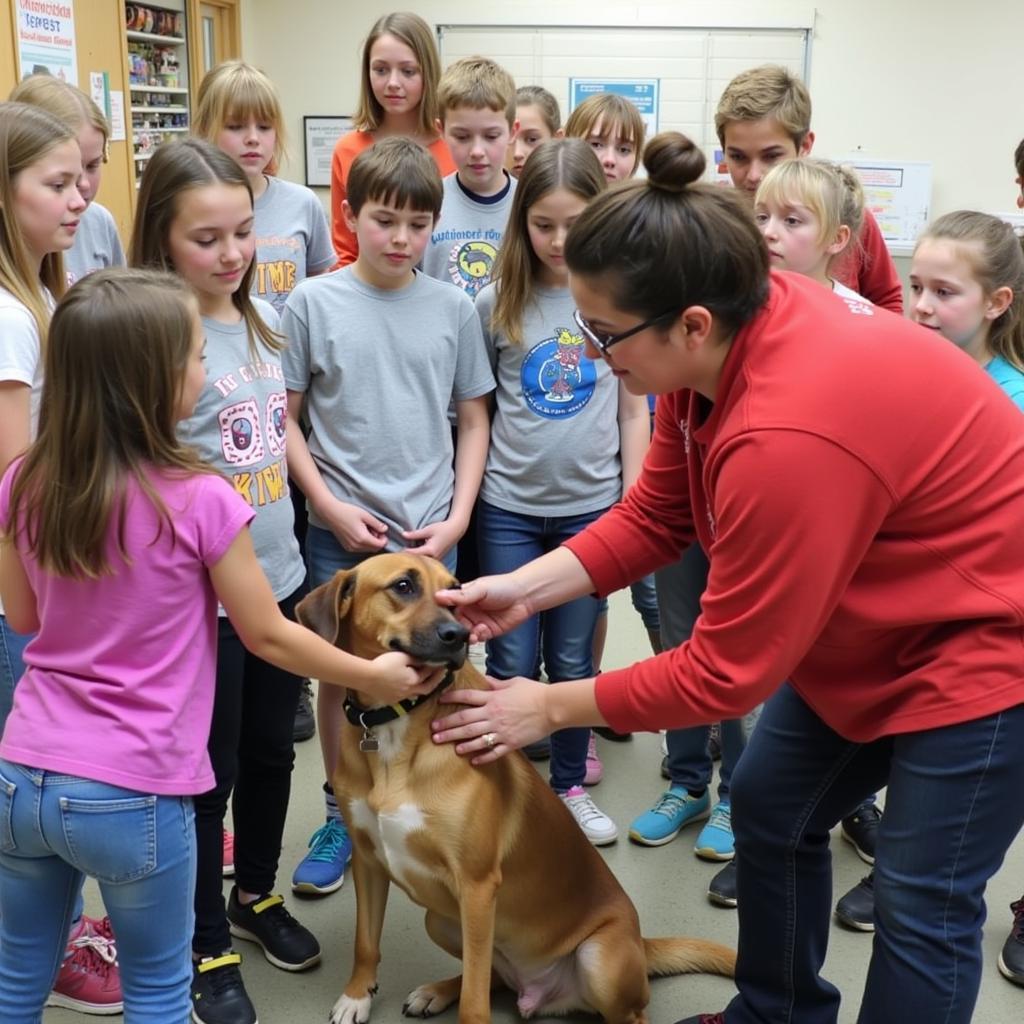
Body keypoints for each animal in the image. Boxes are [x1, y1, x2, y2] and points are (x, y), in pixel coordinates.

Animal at [296, 552, 737, 1024]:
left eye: (455, 591)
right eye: (403, 586)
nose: (459, 635)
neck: (394, 726)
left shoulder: (477, 886)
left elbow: (474, 1003)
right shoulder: (369, 862)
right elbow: (366, 942)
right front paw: (356, 996)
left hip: (598, 958)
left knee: (624, 1012)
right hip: (441, 919)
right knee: (493, 975)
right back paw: (436, 991)